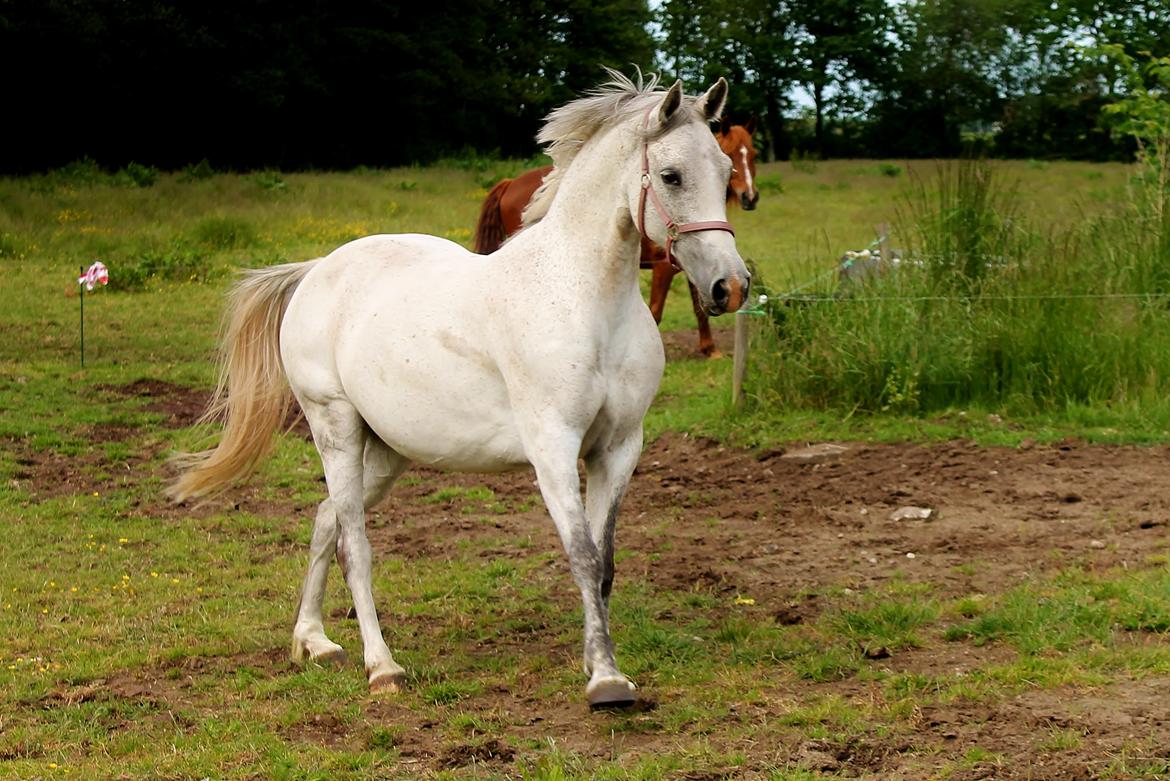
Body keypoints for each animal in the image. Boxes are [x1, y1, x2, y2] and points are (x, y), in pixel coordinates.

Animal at [475, 118, 758, 357]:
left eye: (752, 155)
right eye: (733, 156)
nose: (750, 197)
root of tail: (509, 183)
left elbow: (700, 310)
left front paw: (709, 348)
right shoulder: (664, 269)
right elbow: (656, 312)